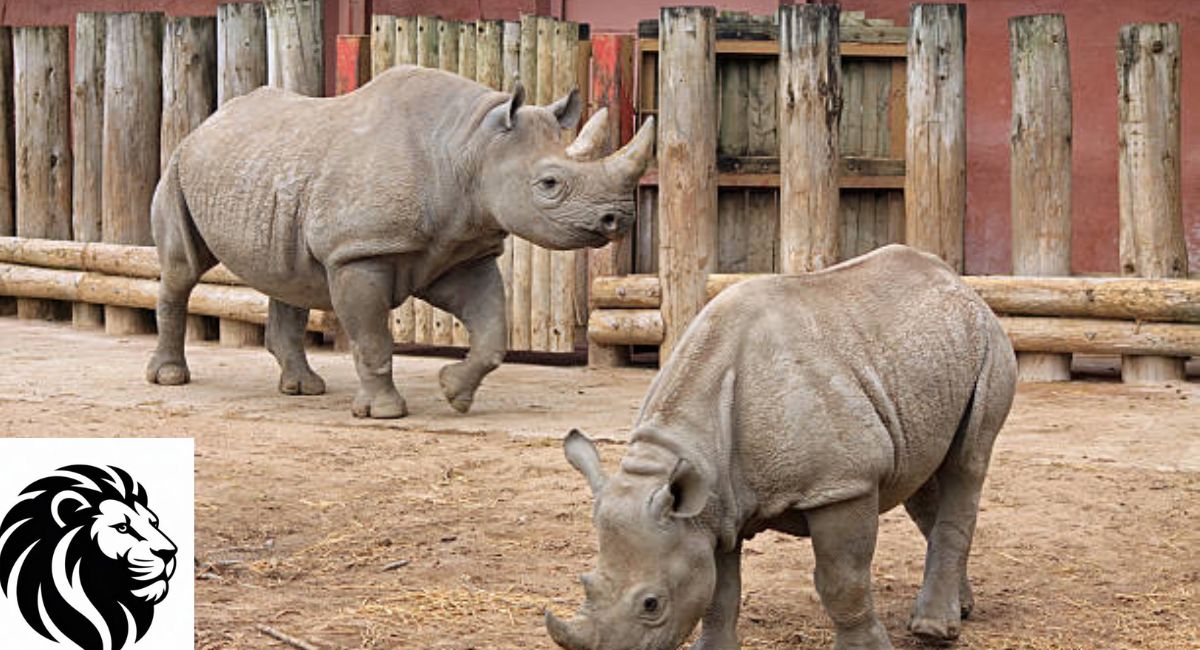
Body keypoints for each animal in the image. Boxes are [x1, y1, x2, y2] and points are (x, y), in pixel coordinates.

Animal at [145, 65, 654, 418]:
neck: (470, 147)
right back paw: (170, 378)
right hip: (179, 165)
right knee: (182, 270)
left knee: (288, 277)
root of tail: (207, 121)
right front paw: (386, 412)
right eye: (549, 184)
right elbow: (373, 338)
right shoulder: (360, 252)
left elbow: (492, 331)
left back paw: (304, 388)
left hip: (269, 170)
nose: (618, 218)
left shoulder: (460, 250)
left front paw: (454, 392)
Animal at [548, 245, 1017, 650]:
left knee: (967, 463)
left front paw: (867, 647)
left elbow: (841, 580)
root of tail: (957, 281)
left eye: (652, 605)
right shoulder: (715, 504)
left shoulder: (842, 484)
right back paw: (962, 608)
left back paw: (933, 630)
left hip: (990, 342)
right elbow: (719, 592)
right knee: (920, 477)